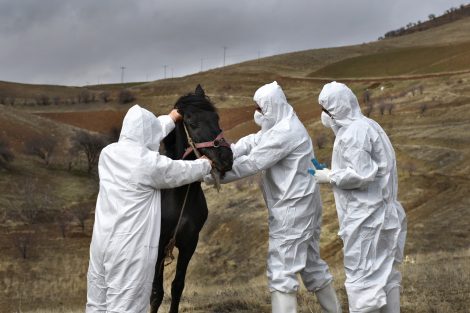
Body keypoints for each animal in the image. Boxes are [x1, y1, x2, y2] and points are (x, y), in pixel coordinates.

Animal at [151, 85, 233, 312]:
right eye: (191, 122)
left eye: (216, 118)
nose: (226, 159)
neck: (178, 196)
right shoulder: (158, 244)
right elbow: (156, 293)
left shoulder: (189, 243)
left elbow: (177, 286)